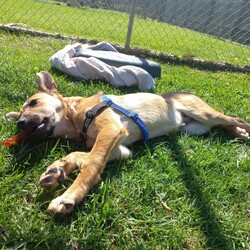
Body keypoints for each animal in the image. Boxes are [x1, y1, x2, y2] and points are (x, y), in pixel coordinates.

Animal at [6, 72, 250, 215]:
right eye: (21, 113)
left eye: (33, 102)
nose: (20, 123)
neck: (74, 117)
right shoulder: (120, 148)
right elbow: (80, 155)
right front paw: (57, 170)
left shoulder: (111, 131)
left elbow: (91, 164)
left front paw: (69, 196)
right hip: (195, 127)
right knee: (225, 123)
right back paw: (238, 133)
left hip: (203, 113)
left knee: (235, 119)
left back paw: (242, 130)